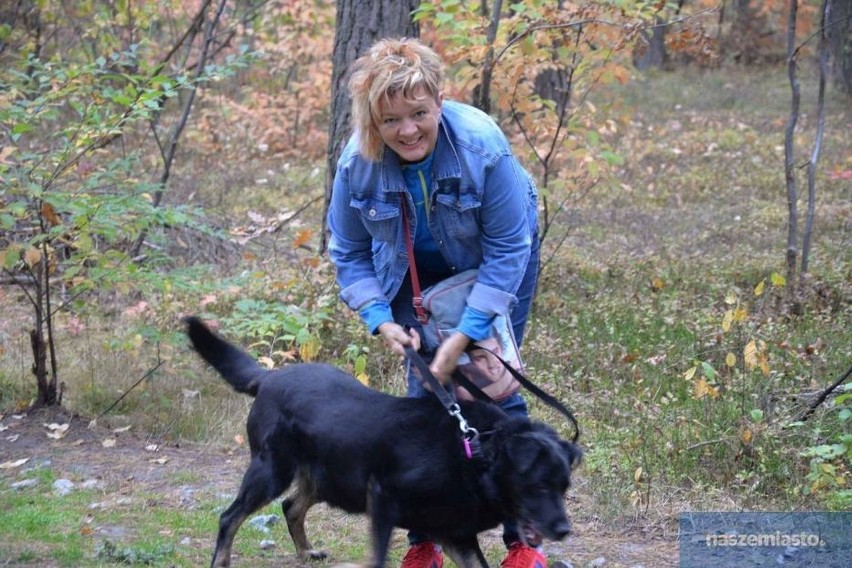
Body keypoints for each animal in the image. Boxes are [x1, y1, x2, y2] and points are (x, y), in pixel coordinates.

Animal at [186, 318, 584, 568]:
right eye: (538, 486)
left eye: (563, 487)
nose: (564, 530)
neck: (473, 452)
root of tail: (268, 378)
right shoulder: (382, 498)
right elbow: (376, 558)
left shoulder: (456, 533)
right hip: (273, 470)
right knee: (231, 517)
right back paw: (222, 561)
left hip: (328, 474)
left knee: (291, 507)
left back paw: (306, 553)